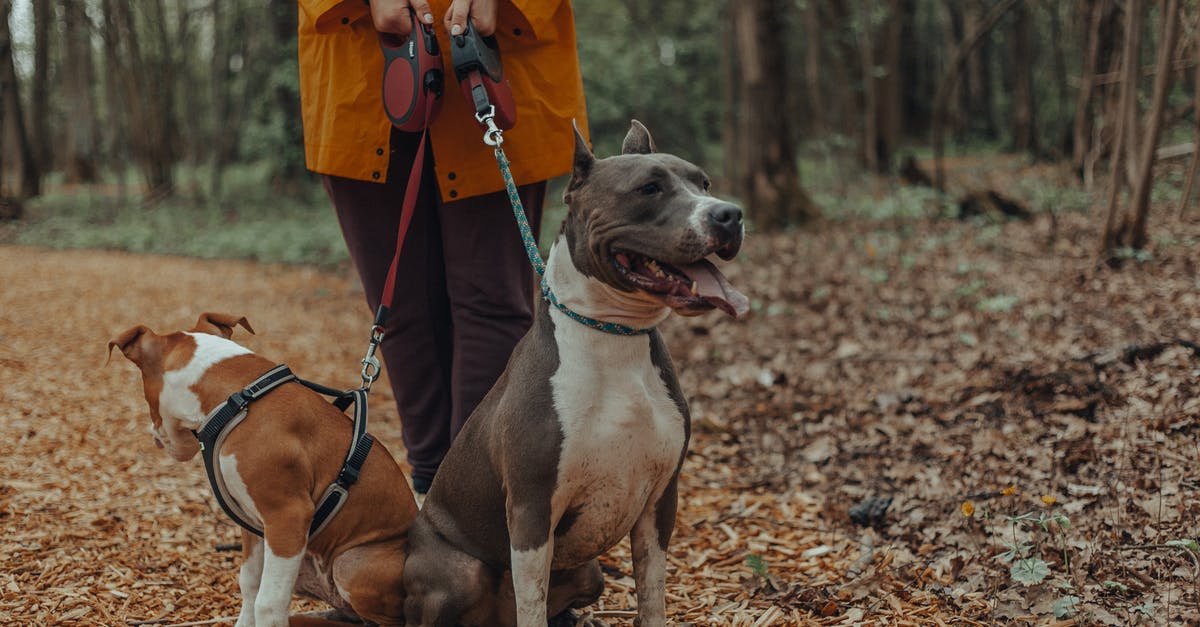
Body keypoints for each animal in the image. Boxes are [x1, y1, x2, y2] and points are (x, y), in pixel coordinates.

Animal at [110, 312, 417, 624]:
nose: (154, 433)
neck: (236, 399)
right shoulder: (254, 523)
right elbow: (250, 584)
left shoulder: (287, 517)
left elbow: (268, 602)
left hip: (350, 563)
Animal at [398, 119, 744, 619]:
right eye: (650, 188)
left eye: (705, 184)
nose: (730, 215)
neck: (614, 335)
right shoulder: (530, 509)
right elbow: (532, 605)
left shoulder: (661, 502)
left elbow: (652, 593)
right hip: (460, 571)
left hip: (590, 572)